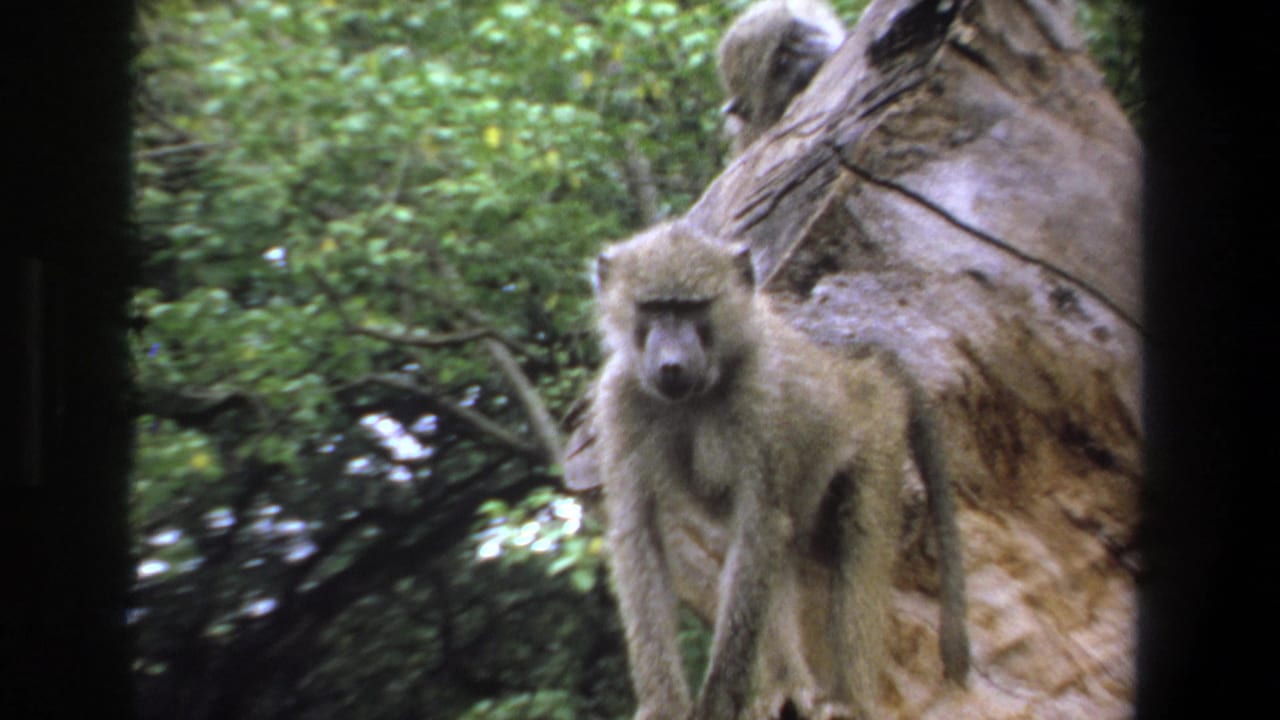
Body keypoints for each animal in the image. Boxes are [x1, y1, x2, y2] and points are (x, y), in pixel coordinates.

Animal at [591, 221, 968, 720]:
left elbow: (759, 525)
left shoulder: (762, 397)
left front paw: (716, 703)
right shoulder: (621, 400)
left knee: (857, 536)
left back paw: (851, 700)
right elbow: (639, 534)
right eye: (654, 308)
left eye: (691, 308)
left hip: (881, 430)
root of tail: (857, 368)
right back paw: (787, 686)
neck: (697, 396)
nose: (671, 365)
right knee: (778, 548)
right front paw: (663, 704)